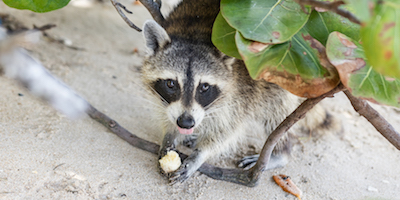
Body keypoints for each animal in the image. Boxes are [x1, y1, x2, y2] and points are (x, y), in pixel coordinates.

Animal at [139, 0, 340, 183]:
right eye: (171, 84)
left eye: (204, 87)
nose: (186, 123)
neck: (193, 34)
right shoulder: (166, 101)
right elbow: (168, 113)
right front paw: (170, 135)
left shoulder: (242, 89)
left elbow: (227, 131)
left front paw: (199, 155)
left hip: (282, 76)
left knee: (277, 113)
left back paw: (281, 153)